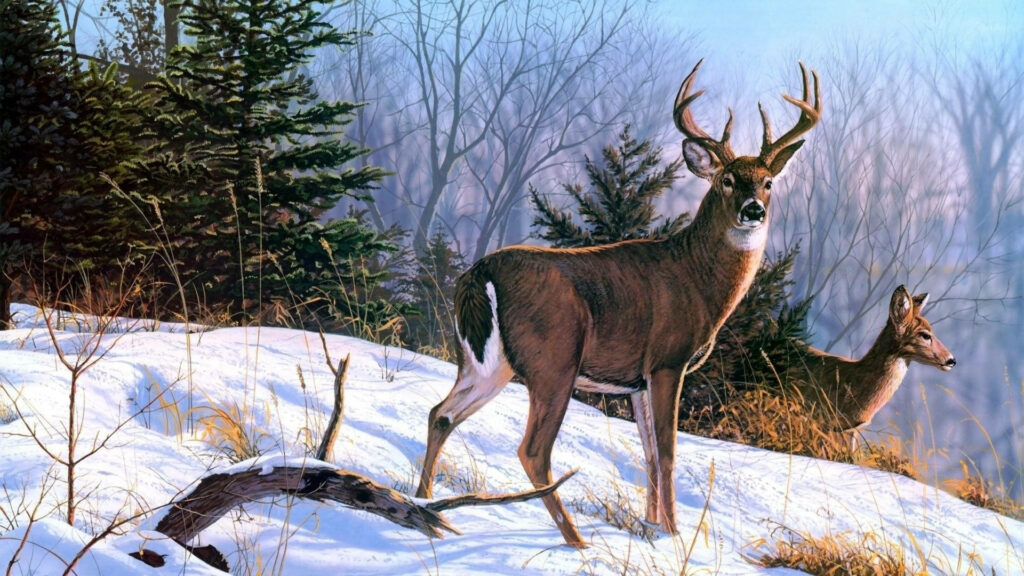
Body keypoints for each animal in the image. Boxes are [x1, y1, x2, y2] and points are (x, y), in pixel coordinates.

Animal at [415, 60, 821, 548]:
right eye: (726, 180)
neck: (698, 279)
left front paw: (653, 528)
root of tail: (480, 273)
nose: (753, 210)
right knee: (532, 451)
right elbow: (667, 452)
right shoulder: (667, 361)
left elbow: (648, 454)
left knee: (440, 413)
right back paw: (575, 541)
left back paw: (425, 505)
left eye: (768, 182)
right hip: (554, 360)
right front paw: (673, 536)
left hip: (488, 363)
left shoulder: (637, 382)